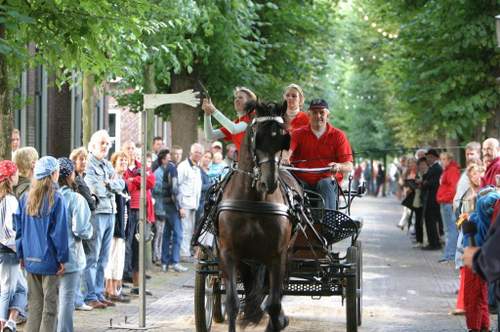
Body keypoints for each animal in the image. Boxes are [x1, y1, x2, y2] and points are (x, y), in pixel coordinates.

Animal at [217, 101, 292, 332]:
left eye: (283, 140)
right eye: (257, 137)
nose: (269, 182)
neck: (254, 202)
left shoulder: (277, 256)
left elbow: (274, 305)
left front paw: (278, 321)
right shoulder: (229, 253)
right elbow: (232, 303)